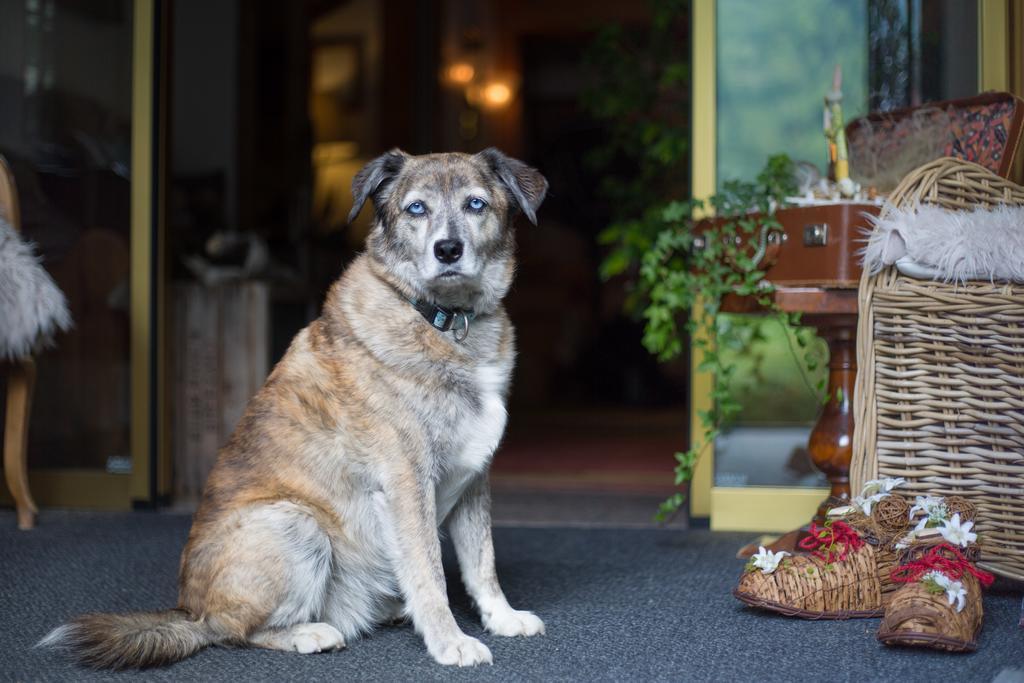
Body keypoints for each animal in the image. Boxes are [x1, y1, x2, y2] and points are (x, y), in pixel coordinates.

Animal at [41, 148, 544, 667]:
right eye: (416, 209)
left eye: (475, 204)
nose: (447, 250)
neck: (445, 321)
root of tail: (188, 609)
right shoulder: (407, 481)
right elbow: (430, 574)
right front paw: (450, 641)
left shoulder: (473, 480)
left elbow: (482, 563)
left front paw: (502, 618)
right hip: (294, 524)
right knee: (232, 630)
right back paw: (309, 632)